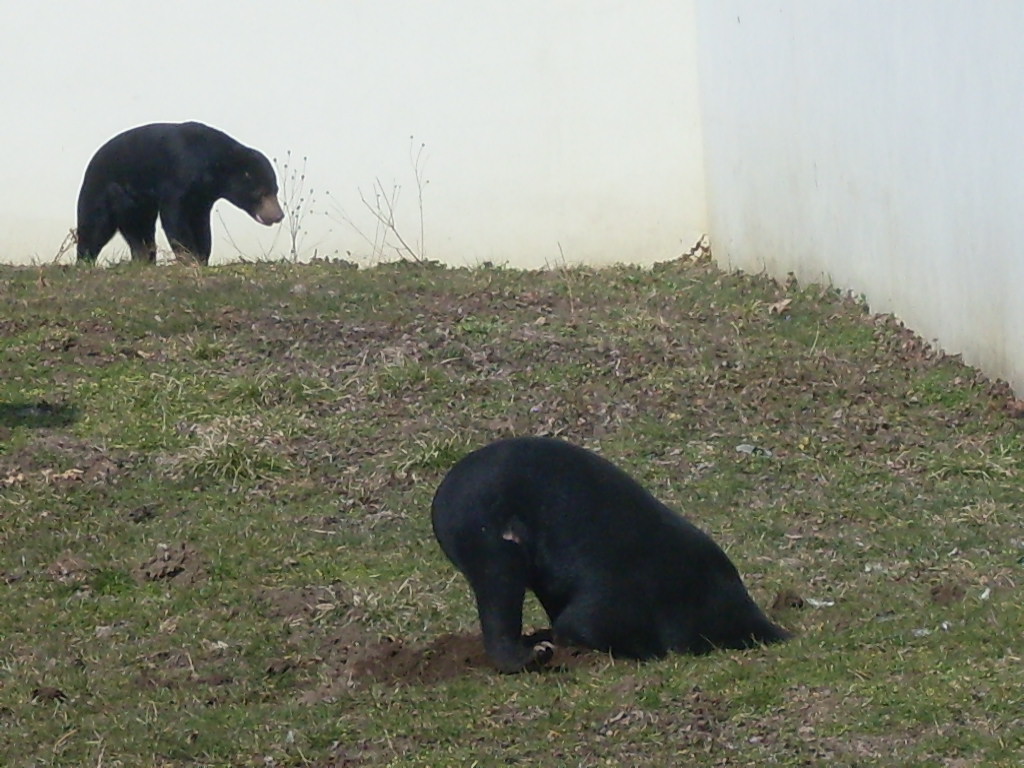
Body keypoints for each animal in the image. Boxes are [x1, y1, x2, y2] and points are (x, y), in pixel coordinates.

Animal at [76, 122, 284, 265]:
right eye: (260, 192)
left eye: (275, 190)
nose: (278, 215)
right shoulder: (177, 178)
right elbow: (175, 218)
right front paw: (189, 257)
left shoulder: (203, 197)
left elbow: (200, 224)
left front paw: (201, 256)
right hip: (104, 191)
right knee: (95, 227)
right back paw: (85, 261)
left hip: (139, 204)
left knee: (140, 230)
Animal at [431, 436, 790, 673]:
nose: (779, 635)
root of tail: (442, 499)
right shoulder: (621, 587)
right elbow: (587, 621)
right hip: (489, 538)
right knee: (499, 591)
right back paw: (535, 654)